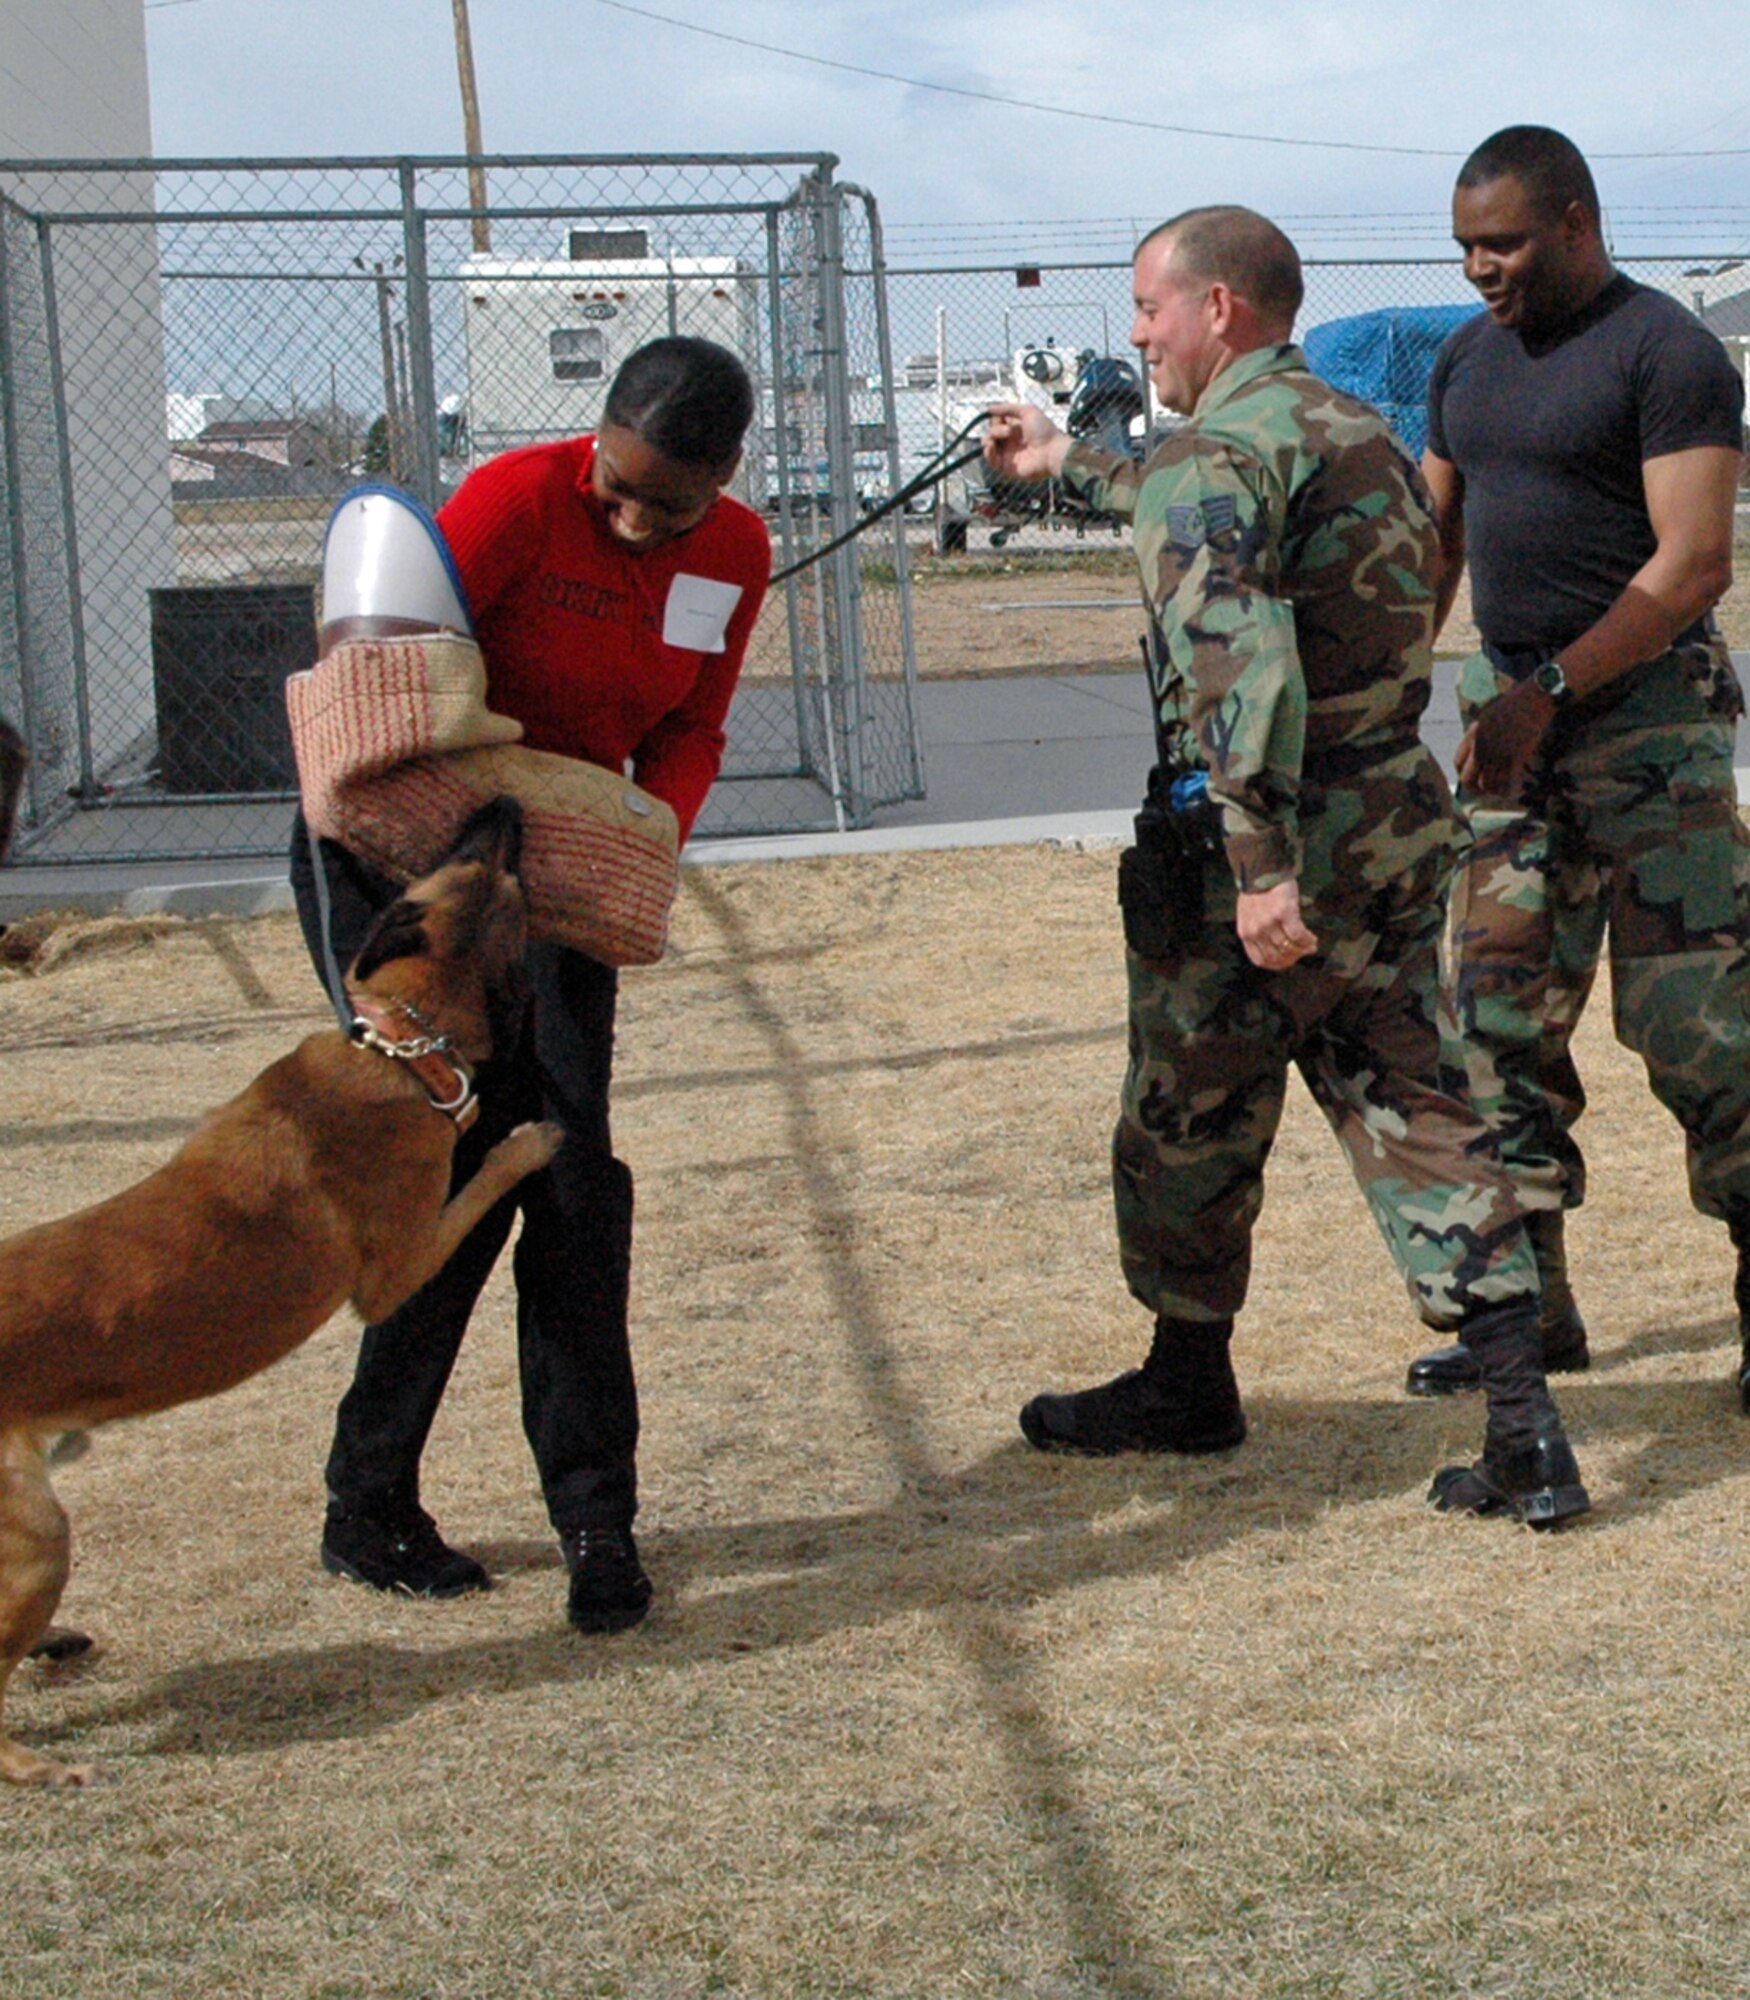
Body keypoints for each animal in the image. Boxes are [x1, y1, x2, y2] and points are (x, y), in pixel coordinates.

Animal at [0, 788, 560, 1792]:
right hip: (35, 1536)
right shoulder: (397, 1266)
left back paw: (55, 1646)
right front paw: (526, 1141)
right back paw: (36, 1763)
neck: (399, 1048)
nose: (502, 799)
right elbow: (484, 1176)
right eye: (481, 863)